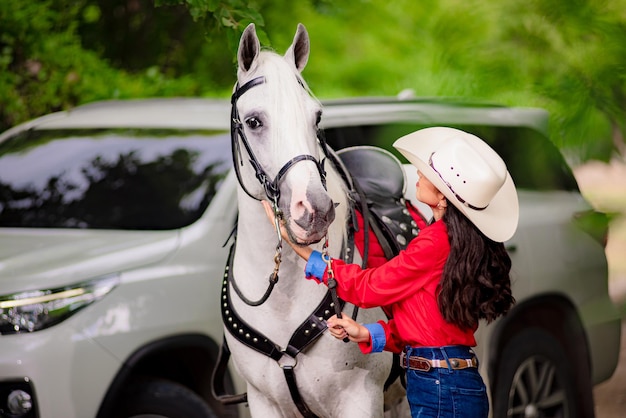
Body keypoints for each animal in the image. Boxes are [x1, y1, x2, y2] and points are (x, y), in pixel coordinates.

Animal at [221, 23, 404, 418]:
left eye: (316, 117)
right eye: (253, 121)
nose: (315, 210)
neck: (283, 300)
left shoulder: (360, 397)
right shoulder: (263, 402)